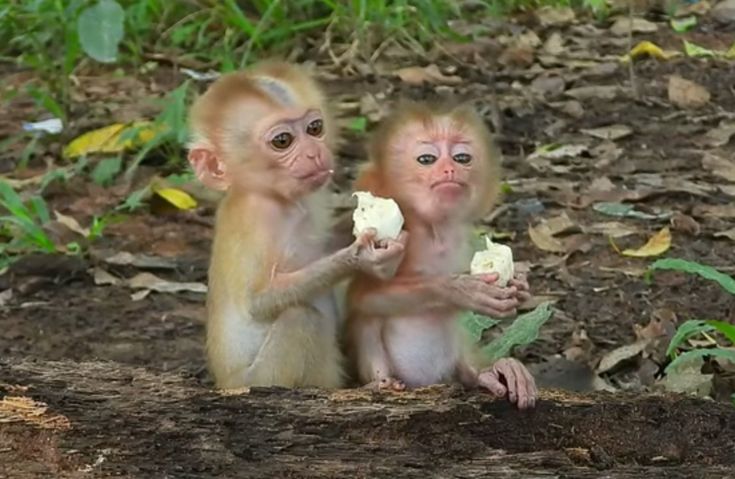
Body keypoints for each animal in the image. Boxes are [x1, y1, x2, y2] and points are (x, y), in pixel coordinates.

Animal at [187, 60, 406, 390]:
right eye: (282, 141)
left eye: (314, 128)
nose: (314, 153)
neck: (282, 202)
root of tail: (226, 383)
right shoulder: (256, 220)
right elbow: (258, 303)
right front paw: (360, 258)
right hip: (260, 378)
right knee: (301, 318)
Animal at [345, 101, 536, 409]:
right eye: (427, 159)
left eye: (461, 157)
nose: (450, 169)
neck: (433, 231)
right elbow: (362, 299)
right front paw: (460, 289)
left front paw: (519, 284)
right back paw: (381, 383)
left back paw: (489, 373)